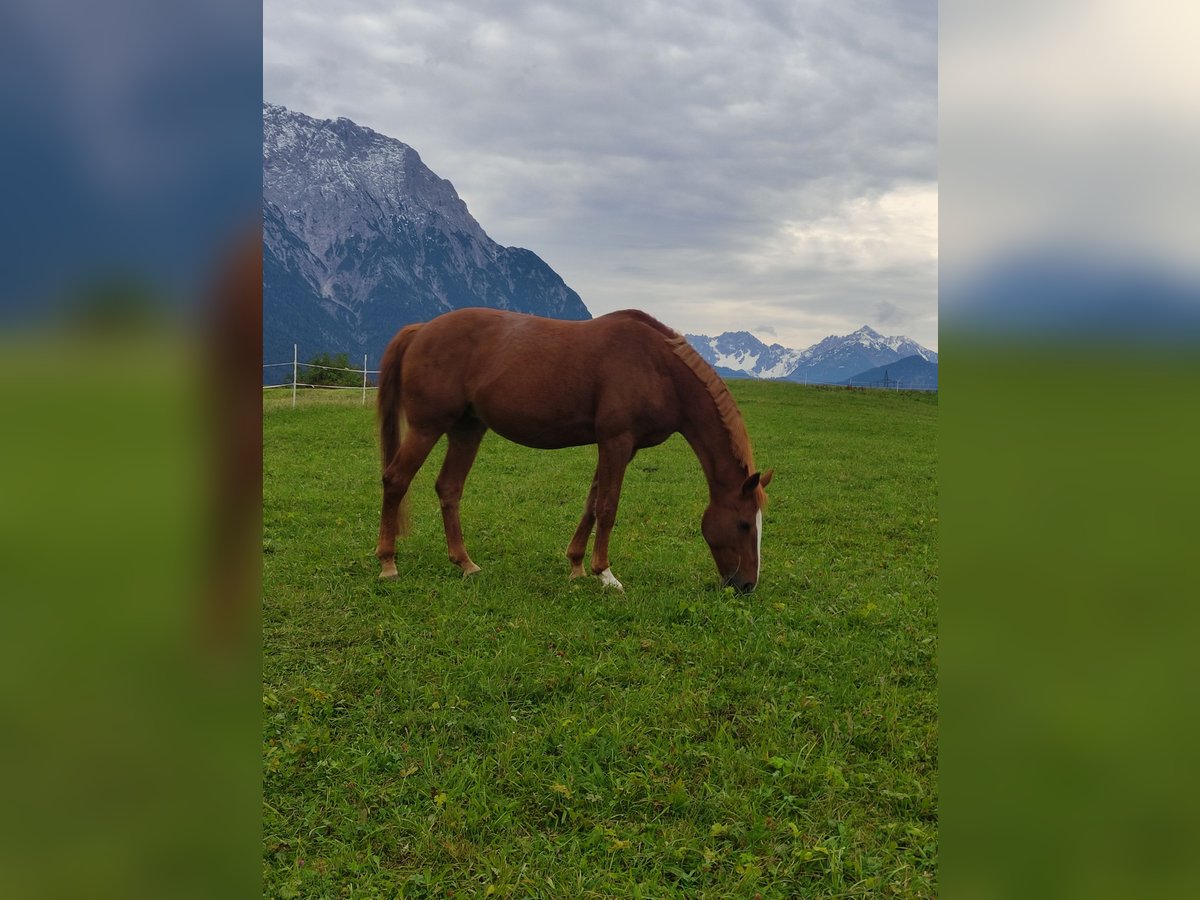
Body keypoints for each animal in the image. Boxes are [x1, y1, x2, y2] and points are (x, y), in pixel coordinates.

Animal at [374, 307, 772, 595]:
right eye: (742, 523)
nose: (747, 585)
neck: (658, 368)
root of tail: (421, 329)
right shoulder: (616, 441)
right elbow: (608, 507)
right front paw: (606, 574)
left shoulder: (621, 448)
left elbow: (591, 504)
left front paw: (577, 566)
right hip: (427, 428)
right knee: (396, 480)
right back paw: (388, 564)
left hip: (467, 429)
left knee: (449, 488)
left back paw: (465, 563)